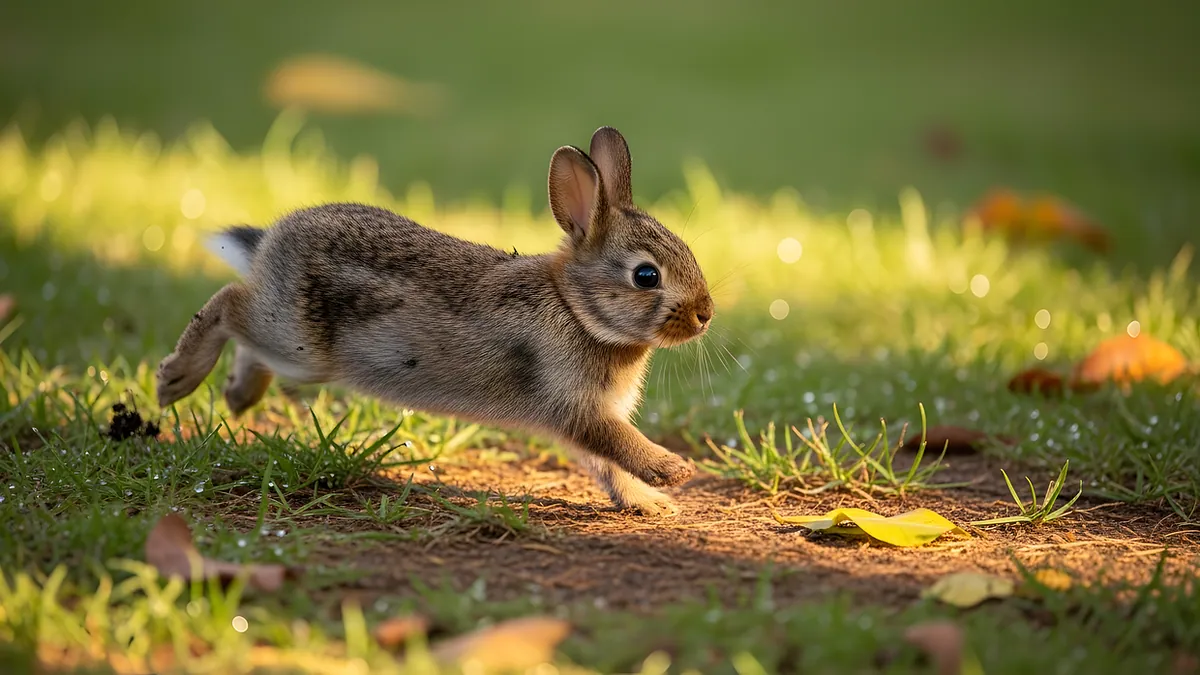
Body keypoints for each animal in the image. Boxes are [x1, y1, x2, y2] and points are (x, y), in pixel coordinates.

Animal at [155, 126, 715, 517]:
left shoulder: (587, 417)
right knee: (230, 303)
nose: (705, 314)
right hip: (299, 344)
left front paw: (651, 504)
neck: (576, 309)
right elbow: (618, 444)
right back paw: (176, 379)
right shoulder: (576, 404)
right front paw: (673, 471)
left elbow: (607, 464)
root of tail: (272, 238)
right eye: (646, 275)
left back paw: (239, 394)